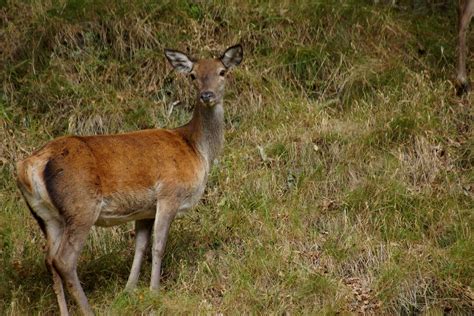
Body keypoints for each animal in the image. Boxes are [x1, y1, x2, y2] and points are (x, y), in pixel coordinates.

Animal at [16, 43, 243, 314]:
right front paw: (155, 292)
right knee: (64, 259)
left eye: (222, 72)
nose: (206, 95)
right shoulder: (170, 192)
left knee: (49, 258)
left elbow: (140, 246)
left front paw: (129, 290)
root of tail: (29, 166)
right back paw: (88, 309)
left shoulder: (145, 209)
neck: (197, 150)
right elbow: (158, 246)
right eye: (193, 75)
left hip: (46, 216)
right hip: (80, 206)